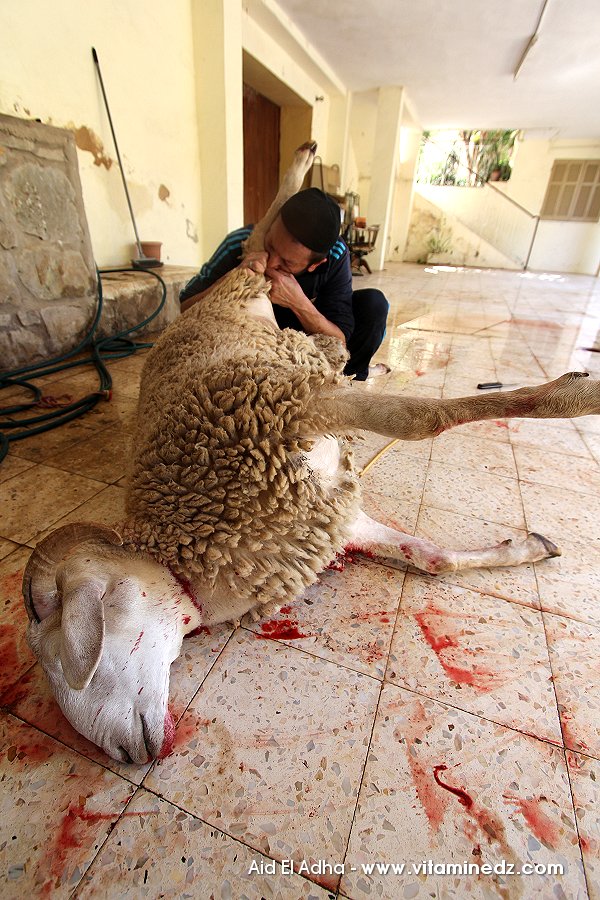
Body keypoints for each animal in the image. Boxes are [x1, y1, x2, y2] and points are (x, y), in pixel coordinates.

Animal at [22, 142, 600, 764]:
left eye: (63, 648)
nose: (126, 757)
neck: (190, 541)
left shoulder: (294, 407)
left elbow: (421, 419)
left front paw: (579, 395)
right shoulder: (329, 519)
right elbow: (431, 558)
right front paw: (527, 548)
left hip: (255, 289)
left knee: (259, 237)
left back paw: (301, 165)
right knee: (274, 264)